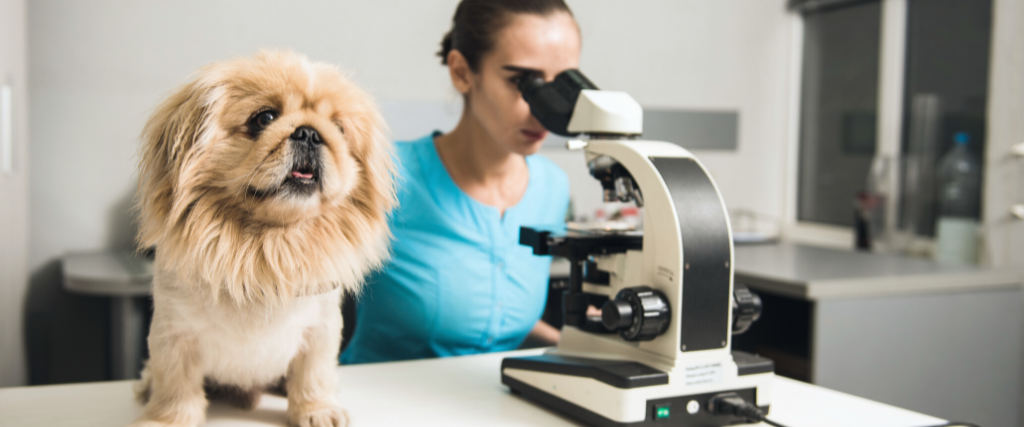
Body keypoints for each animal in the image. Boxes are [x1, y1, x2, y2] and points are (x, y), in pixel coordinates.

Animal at [129, 50, 399, 425]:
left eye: (340, 129)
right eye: (264, 118)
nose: (310, 133)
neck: (265, 247)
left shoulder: (320, 332)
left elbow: (314, 375)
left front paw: (316, 411)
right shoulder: (174, 334)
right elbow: (175, 387)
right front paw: (166, 420)